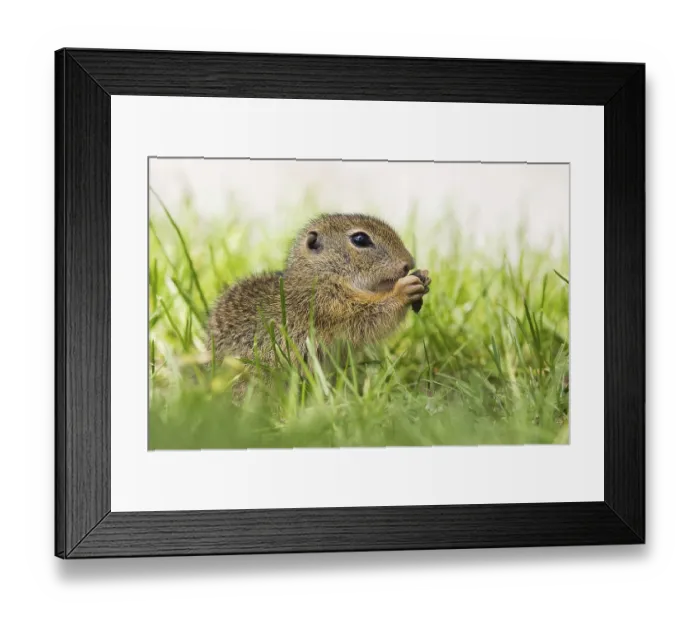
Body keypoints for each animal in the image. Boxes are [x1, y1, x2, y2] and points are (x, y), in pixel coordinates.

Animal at [207, 213, 431, 387]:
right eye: (360, 239)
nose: (409, 263)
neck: (318, 274)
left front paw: (424, 278)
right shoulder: (326, 305)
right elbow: (370, 316)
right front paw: (403, 290)